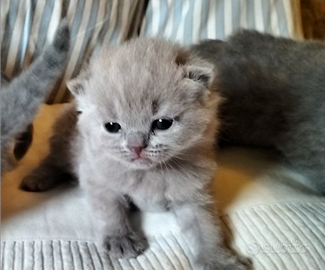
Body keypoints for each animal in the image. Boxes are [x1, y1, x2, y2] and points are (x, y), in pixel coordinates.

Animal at [20, 39, 248, 268]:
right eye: (112, 126)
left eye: (162, 123)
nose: (136, 146)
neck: (150, 174)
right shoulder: (96, 177)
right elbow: (110, 209)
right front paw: (120, 238)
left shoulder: (194, 194)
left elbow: (207, 227)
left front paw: (218, 260)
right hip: (65, 142)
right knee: (53, 160)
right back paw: (37, 179)